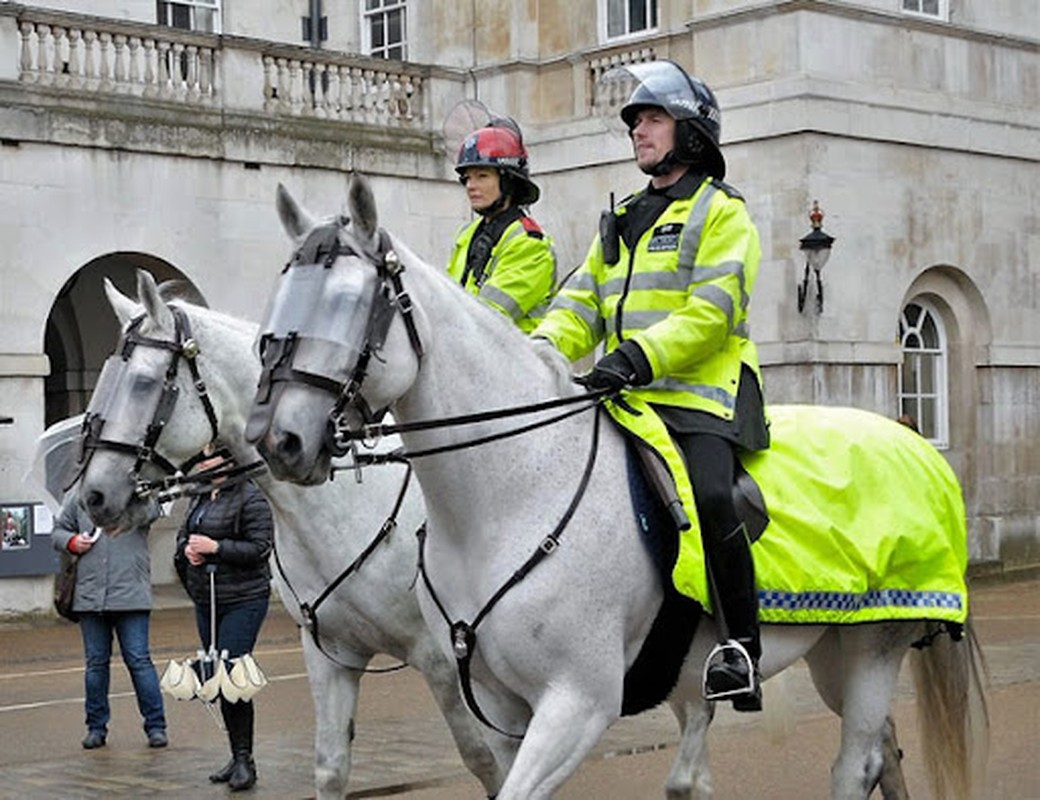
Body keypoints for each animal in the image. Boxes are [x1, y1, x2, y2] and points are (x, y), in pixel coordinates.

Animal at [73, 270, 515, 798]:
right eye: (103, 379)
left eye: (142, 382)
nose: (94, 495)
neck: (345, 510)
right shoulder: (331, 655)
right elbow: (330, 765)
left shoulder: (447, 664)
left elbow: (487, 760)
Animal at [245, 176, 990, 798]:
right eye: (276, 300)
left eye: (351, 301)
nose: (280, 440)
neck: (512, 495)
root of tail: (911, 442)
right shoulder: (496, 703)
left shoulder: (577, 703)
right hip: (832, 649)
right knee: (881, 752)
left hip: (874, 648)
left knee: (854, 762)